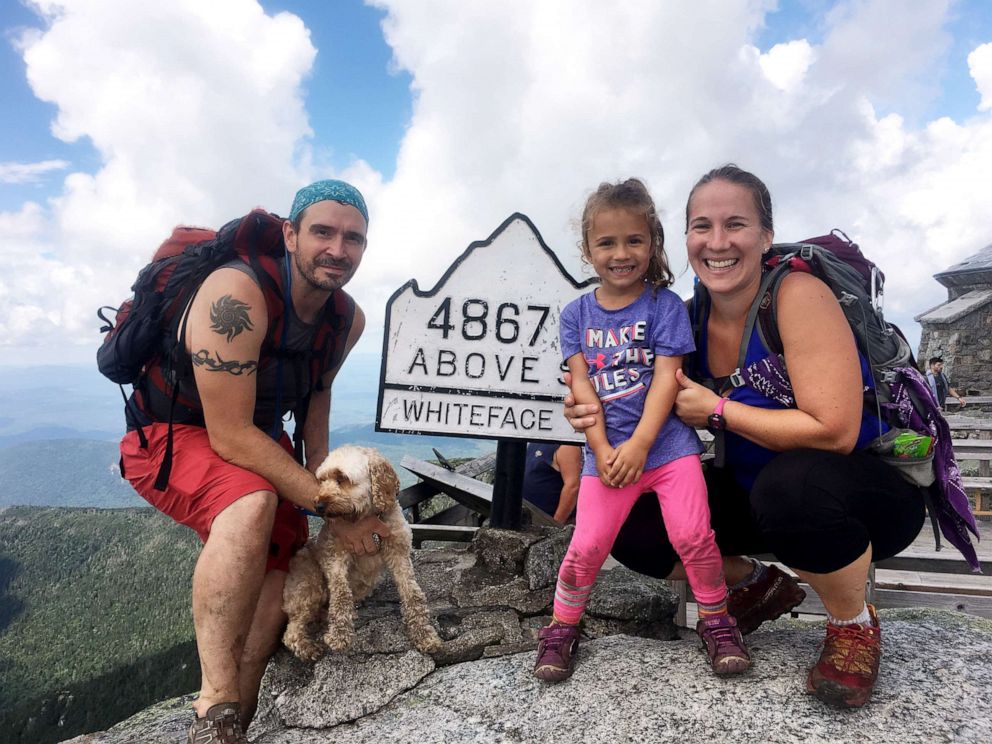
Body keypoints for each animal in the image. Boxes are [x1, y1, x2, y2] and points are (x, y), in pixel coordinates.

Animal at [280, 444, 440, 660]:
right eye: (322, 480)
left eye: (341, 478)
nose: (318, 505)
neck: (365, 517)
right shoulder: (335, 556)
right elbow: (341, 594)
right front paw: (339, 634)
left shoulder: (399, 553)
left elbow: (412, 593)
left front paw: (424, 634)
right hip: (309, 583)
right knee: (292, 630)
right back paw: (308, 647)